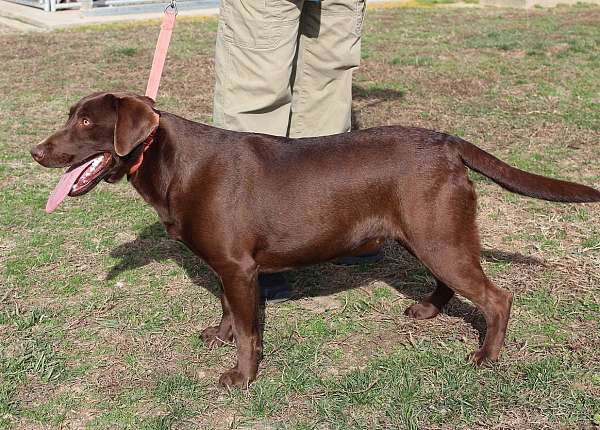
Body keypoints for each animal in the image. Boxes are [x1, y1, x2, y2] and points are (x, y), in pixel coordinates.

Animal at [29, 92, 600, 388]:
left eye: (85, 120)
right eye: (68, 116)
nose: (35, 151)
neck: (169, 161)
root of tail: (446, 142)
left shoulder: (238, 267)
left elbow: (249, 331)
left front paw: (241, 377)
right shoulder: (229, 267)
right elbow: (230, 311)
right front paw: (219, 334)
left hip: (439, 235)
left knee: (497, 296)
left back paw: (485, 358)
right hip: (427, 234)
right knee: (452, 283)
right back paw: (427, 311)